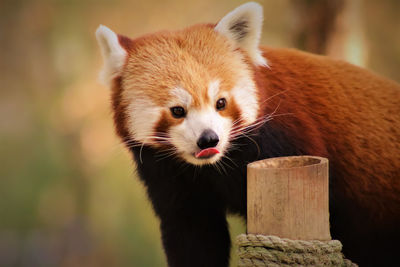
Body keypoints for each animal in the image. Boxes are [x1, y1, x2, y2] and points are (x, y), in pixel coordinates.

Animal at [95, 2, 398, 267]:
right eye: (177, 110)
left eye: (220, 103)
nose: (209, 139)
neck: (214, 167)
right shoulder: (169, 176)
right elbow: (193, 235)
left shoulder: (285, 140)